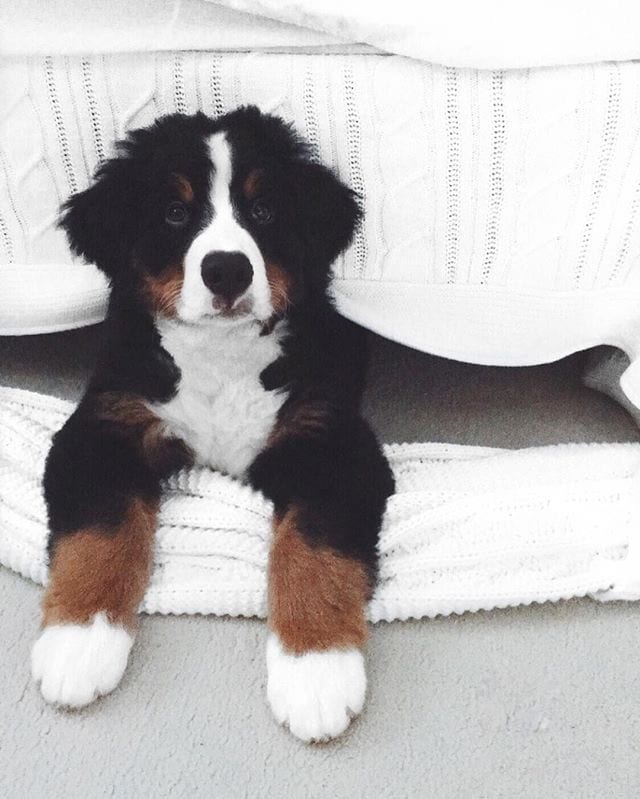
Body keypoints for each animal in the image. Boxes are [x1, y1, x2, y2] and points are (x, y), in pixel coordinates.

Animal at [31, 106, 396, 744]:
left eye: (264, 210)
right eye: (175, 213)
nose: (226, 270)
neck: (221, 360)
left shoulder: (331, 442)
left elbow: (314, 550)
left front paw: (315, 671)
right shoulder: (104, 428)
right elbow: (100, 533)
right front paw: (78, 643)